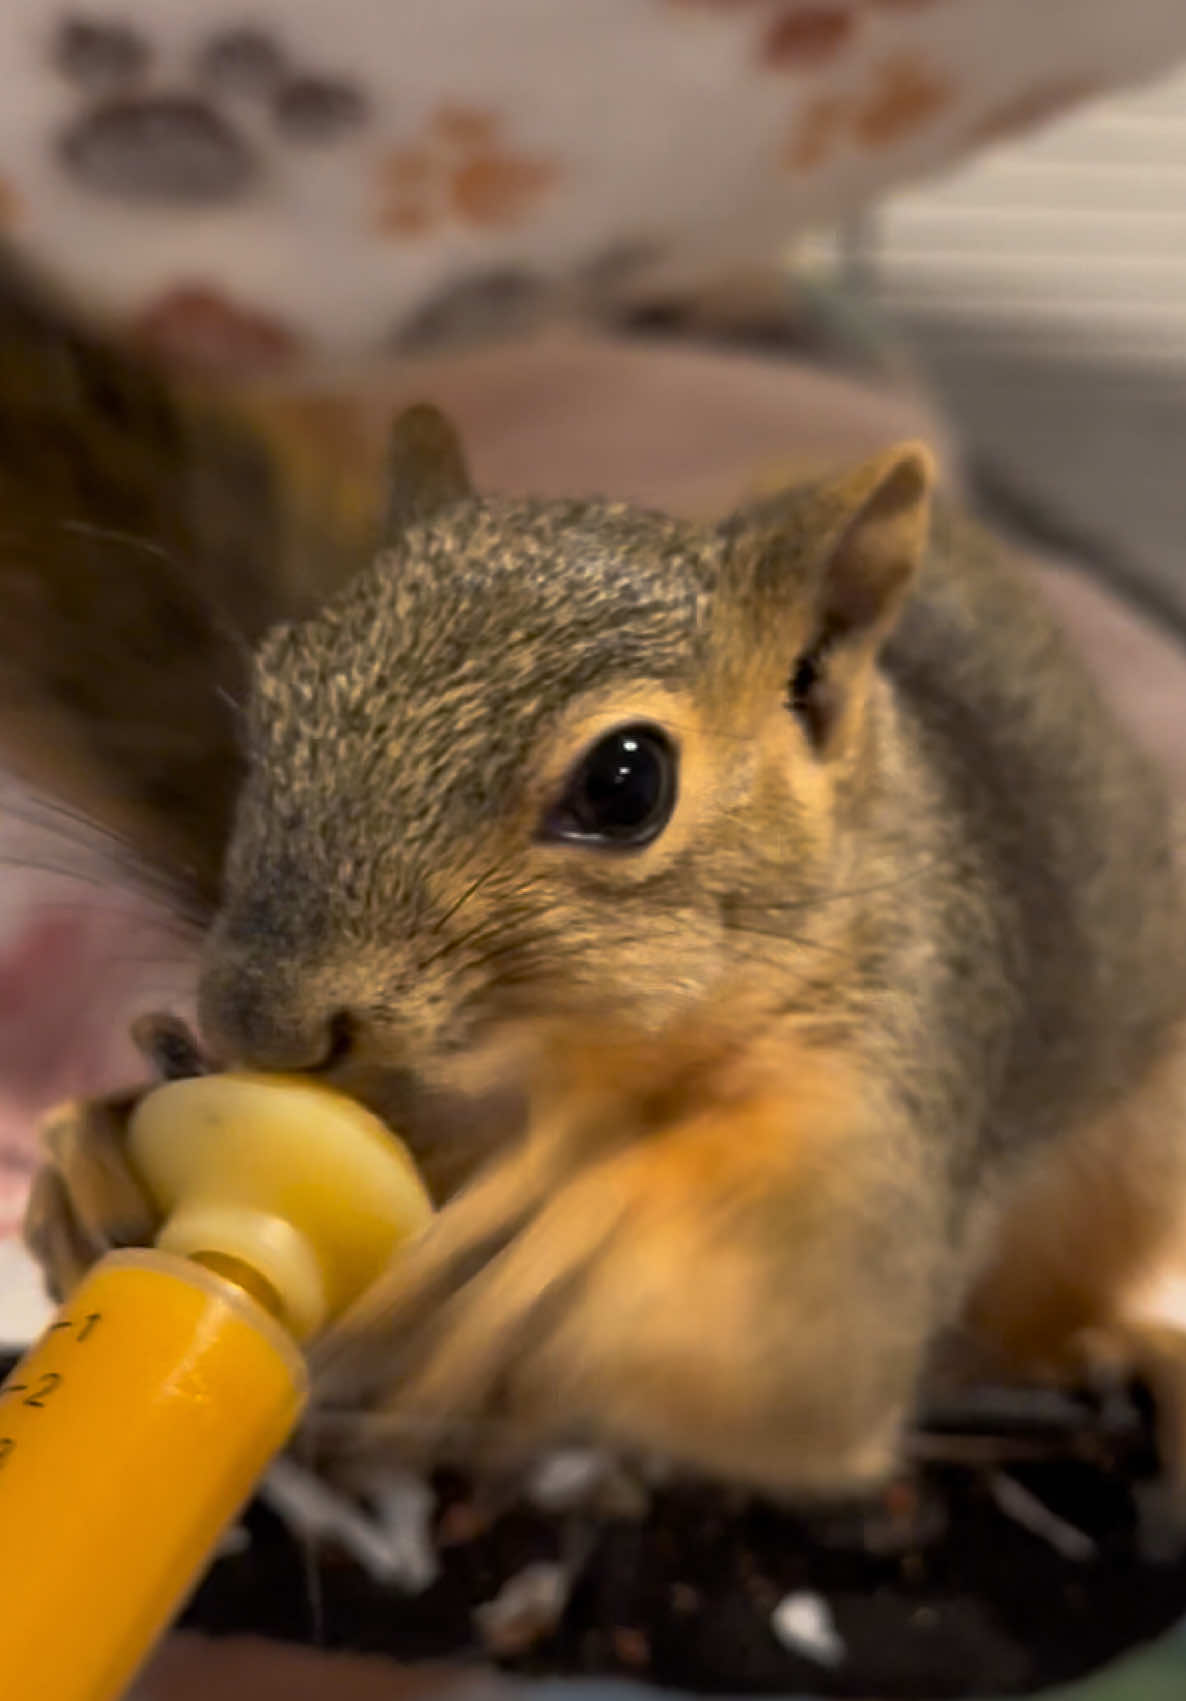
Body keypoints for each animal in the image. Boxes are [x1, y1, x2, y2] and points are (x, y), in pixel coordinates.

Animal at [7, 256, 1186, 1500]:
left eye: (627, 784)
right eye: (276, 688)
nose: (252, 1022)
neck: (581, 1071)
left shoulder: (892, 1081)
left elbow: (820, 1355)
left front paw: (578, 1237)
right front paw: (88, 1155)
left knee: (1033, 1325)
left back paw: (1127, 1350)